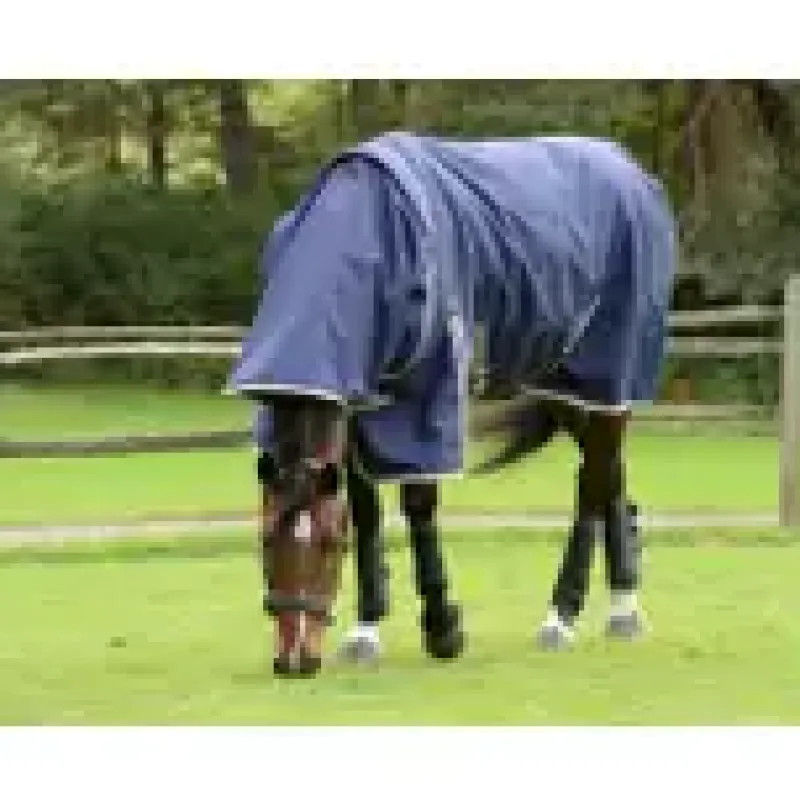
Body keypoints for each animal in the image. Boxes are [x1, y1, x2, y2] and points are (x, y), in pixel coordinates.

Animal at [229, 132, 676, 677]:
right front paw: (365, 631)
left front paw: (443, 629)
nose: (294, 660)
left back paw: (563, 616)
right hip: (567, 388)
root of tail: (631, 171)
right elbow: (367, 511)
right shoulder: (360, 401)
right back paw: (622, 609)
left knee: (592, 486)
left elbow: (419, 503)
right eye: (265, 540)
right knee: (611, 478)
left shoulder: (427, 396)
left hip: (609, 376)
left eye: (332, 546)